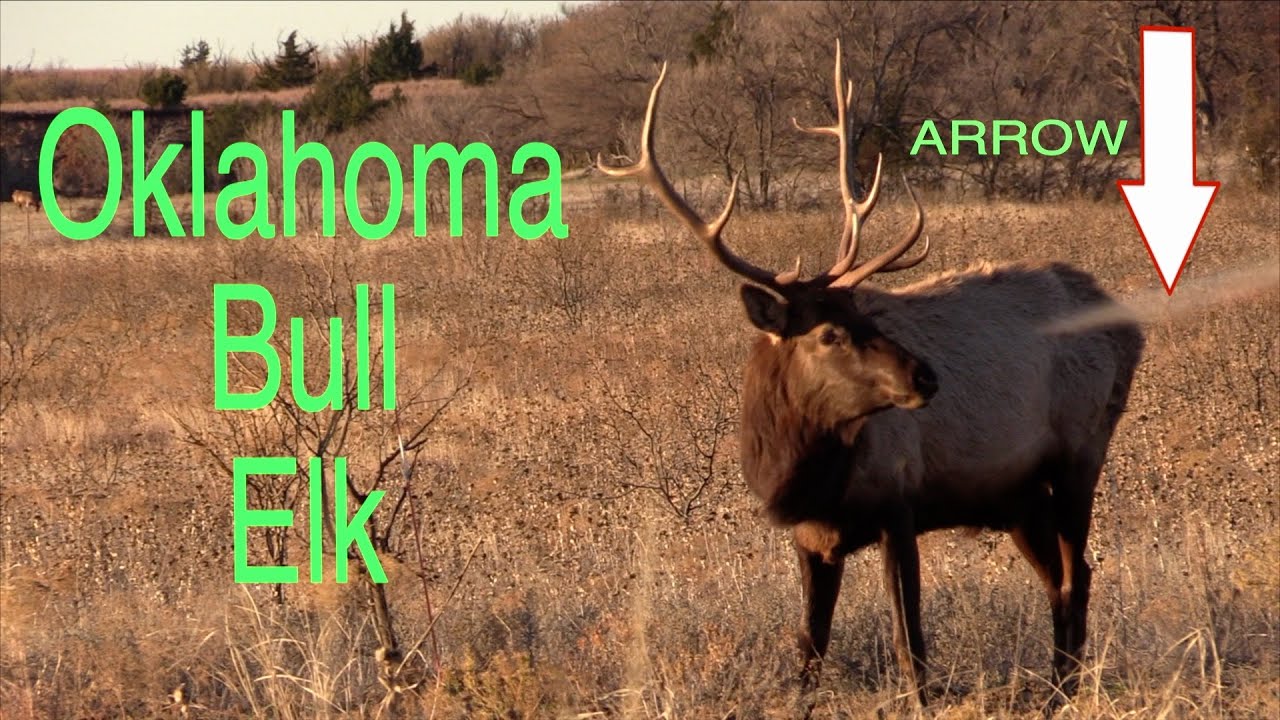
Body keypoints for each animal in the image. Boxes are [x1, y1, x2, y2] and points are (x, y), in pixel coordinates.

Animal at [597, 42, 1145, 711]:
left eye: (868, 312)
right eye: (830, 332)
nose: (927, 377)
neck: (805, 475)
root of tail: (1130, 328)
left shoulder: (899, 502)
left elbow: (910, 642)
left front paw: (925, 704)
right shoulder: (811, 536)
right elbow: (809, 647)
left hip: (1080, 452)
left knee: (1075, 573)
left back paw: (1062, 690)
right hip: (1016, 495)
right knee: (1064, 575)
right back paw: (1056, 686)